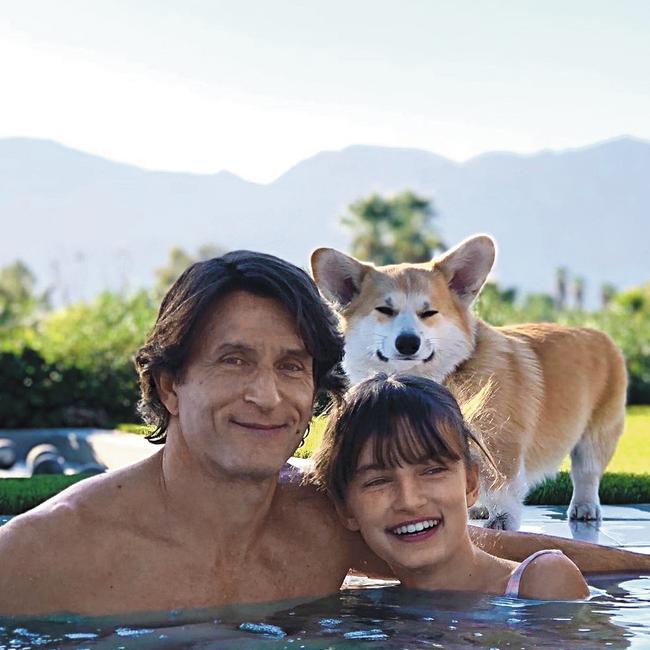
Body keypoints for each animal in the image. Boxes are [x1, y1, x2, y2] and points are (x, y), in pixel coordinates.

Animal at [312, 235, 624, 528]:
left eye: (429, 312)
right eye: (384, 310)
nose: (408, 343)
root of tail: (599, 334)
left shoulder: (501, 443)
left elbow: (503, 488)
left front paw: (502, 523)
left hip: (596, 435)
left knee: (586, 474)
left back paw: (585, 508)